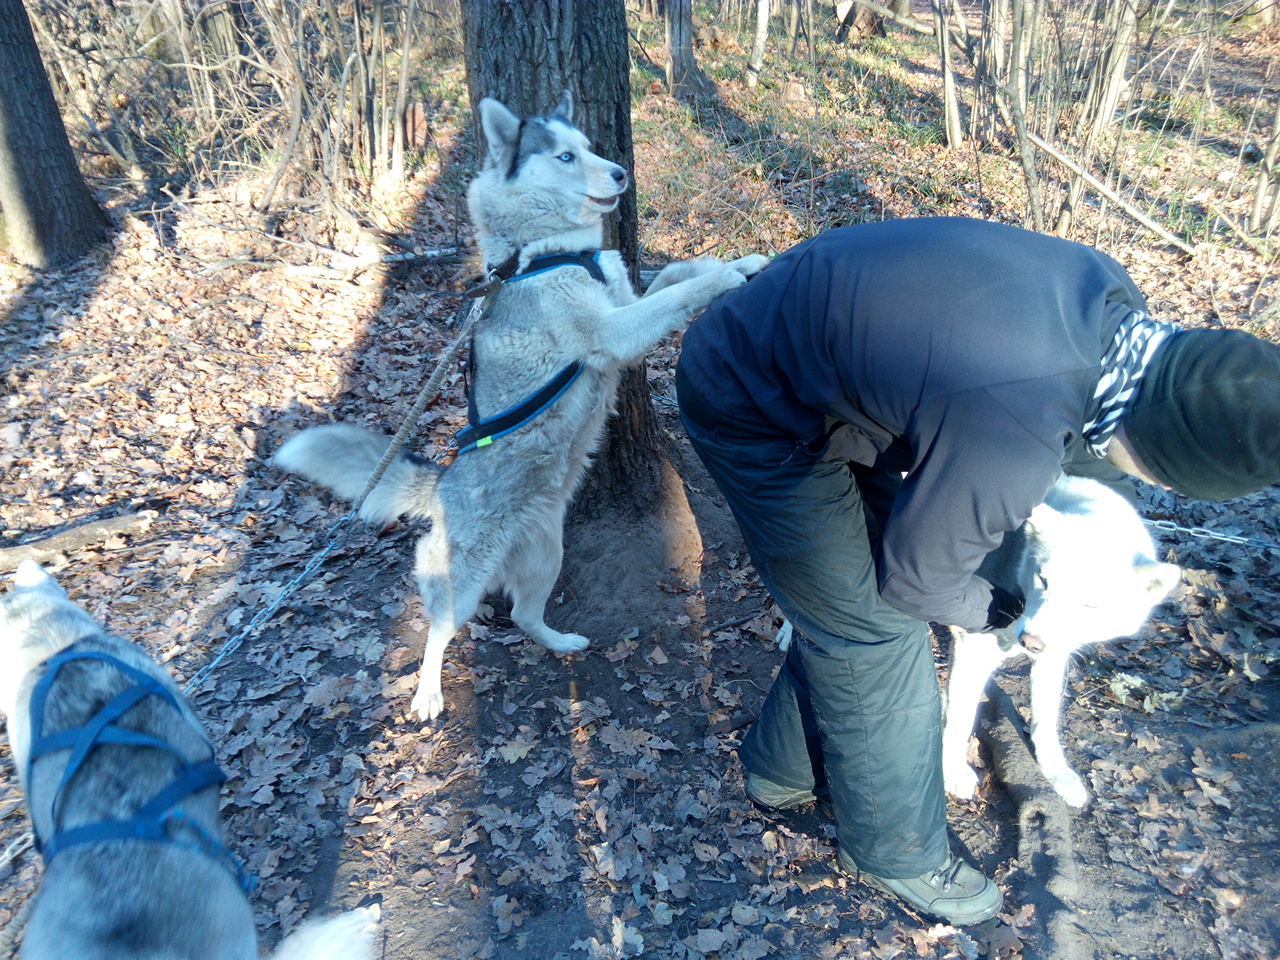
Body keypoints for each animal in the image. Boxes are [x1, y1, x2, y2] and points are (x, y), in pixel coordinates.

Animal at [275, 90, 762, 721]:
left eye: (588, 147)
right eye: (565, 156)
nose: (620, 173)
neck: (550, 252)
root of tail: (440, 487)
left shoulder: (623, 310)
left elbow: (674, 277)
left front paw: (735, 260)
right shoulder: (613, 333)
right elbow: (680, 292)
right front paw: (727, 275)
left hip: (547, 556)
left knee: (524, 616)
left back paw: (563, 641)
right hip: (464, 581)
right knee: (439, 630)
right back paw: (428, 693)